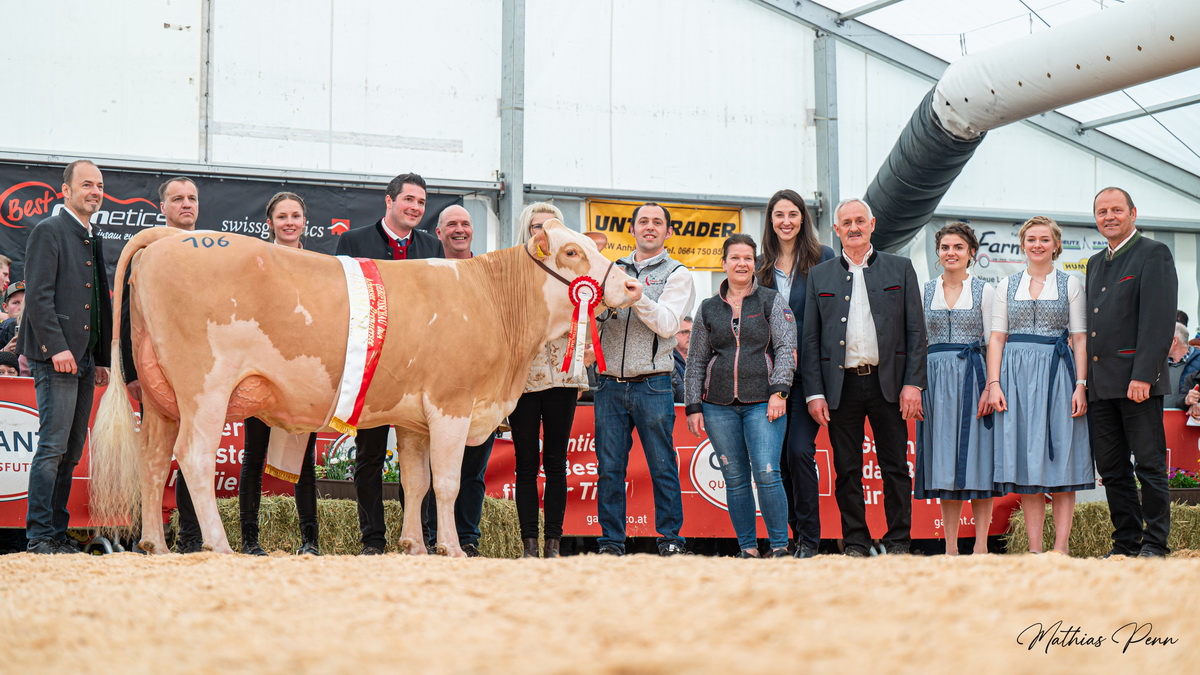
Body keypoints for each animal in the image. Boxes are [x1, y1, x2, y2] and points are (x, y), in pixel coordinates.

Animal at [88, 220, 643, 552]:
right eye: (571, 251)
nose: (633, 284)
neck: (490, 300)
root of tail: (171, 235)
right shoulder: (452, 405)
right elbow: (447, 482)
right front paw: (450, 547)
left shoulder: (416, 417)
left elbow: (415, 483)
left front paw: (414, 545)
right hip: (204, 387)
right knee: (193, 457)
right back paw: (219, 545)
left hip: (159, 395)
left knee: (152, 460)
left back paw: (156, 545)